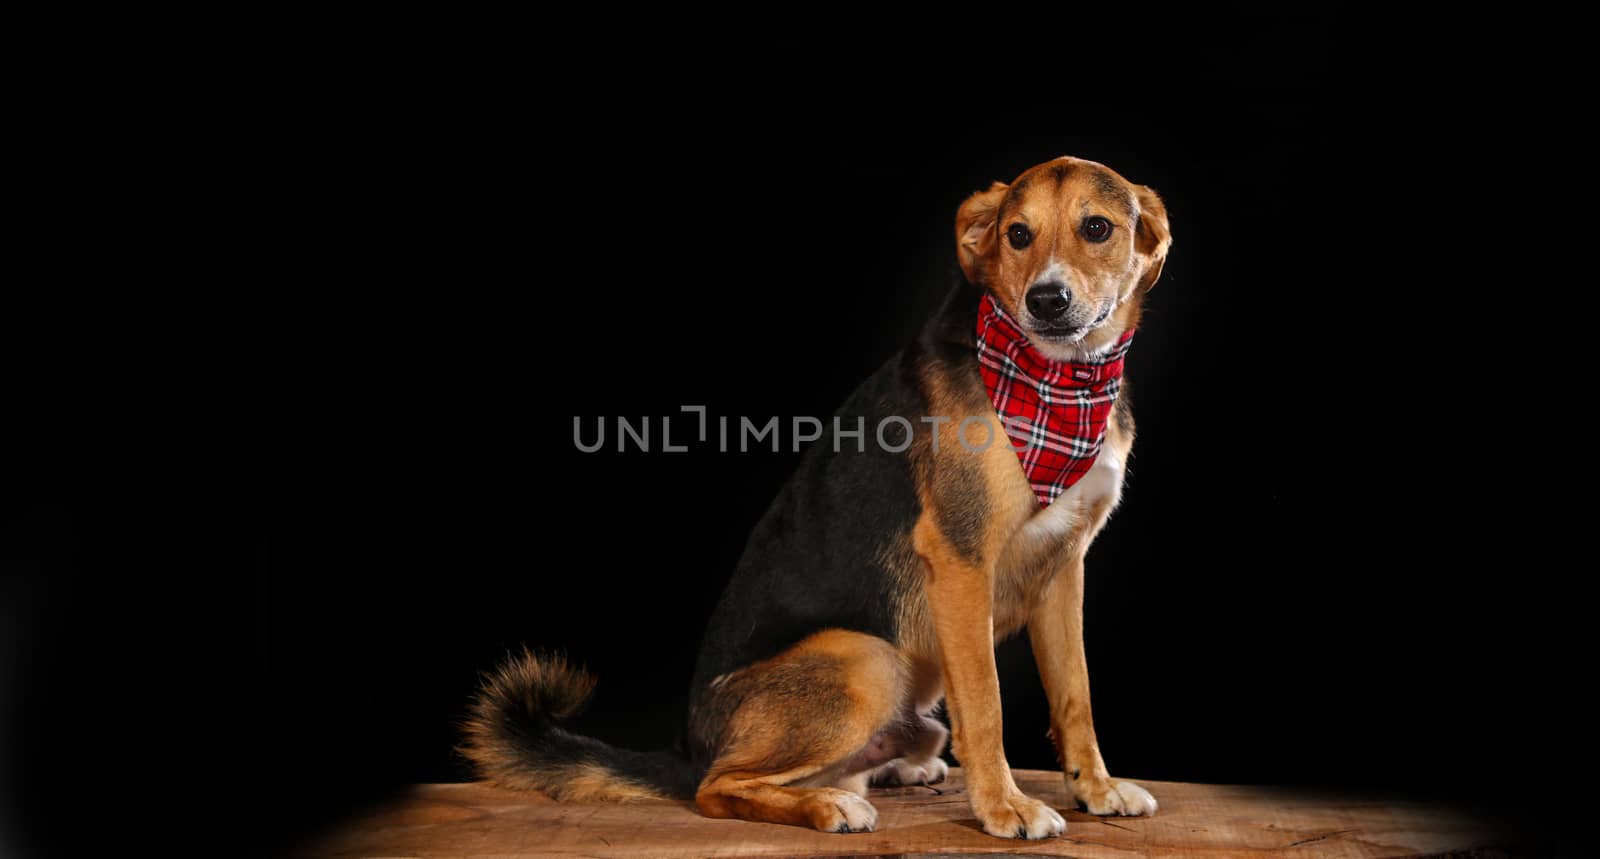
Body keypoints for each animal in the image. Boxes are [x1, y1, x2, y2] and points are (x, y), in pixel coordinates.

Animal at [464, 154, 1177, 838]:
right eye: (1018, 235)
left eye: (1097, 228)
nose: (1047, 300)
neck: (1061, 385)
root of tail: (687, 748)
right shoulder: (960, 562)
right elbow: (986, 704)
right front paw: (1004, 807)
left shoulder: (1063, 566)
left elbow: (1075, 695)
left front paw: (1095, 789)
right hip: (866, 659)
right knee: (716, 790)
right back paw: (828, 806)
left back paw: (891, 770)